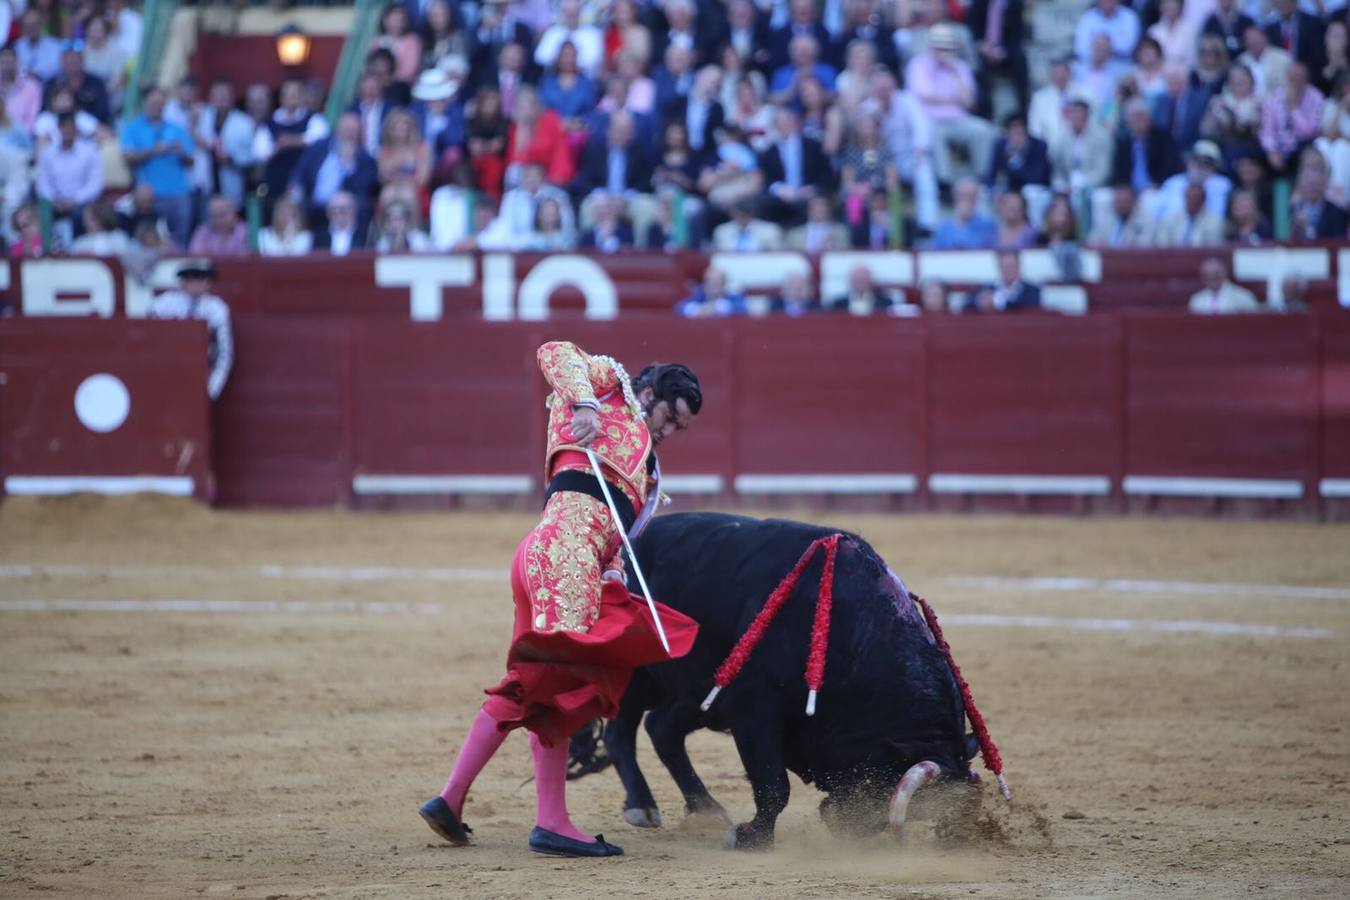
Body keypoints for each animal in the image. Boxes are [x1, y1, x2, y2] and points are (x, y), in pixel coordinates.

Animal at [591, 512, 982, 852]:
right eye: (880, 782)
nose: (850, 828)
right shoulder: (753, 707)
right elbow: (773, 784)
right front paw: (750, 837)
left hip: (700, 691)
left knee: (661, 728)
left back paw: (705, 808)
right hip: (638, 673)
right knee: (621, 731)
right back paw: (642, 806)